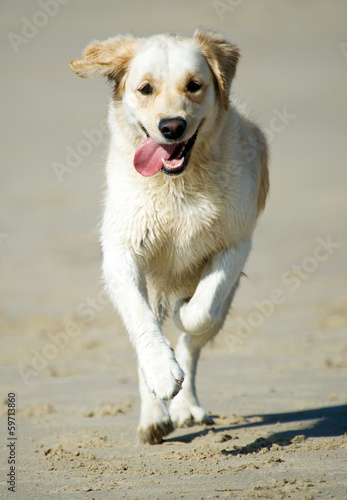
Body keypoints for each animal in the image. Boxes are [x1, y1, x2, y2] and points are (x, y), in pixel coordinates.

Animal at [70, 30, 270, 446]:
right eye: (145, 88)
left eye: (194, 85)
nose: (172, 127)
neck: (175, 184)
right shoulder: (121, 252)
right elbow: (143, 323)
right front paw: (162, 373)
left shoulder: (235, 243)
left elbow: (200, 312)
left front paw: (185, 311)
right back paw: (154, 417)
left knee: (194, 341)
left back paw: (186, 407)